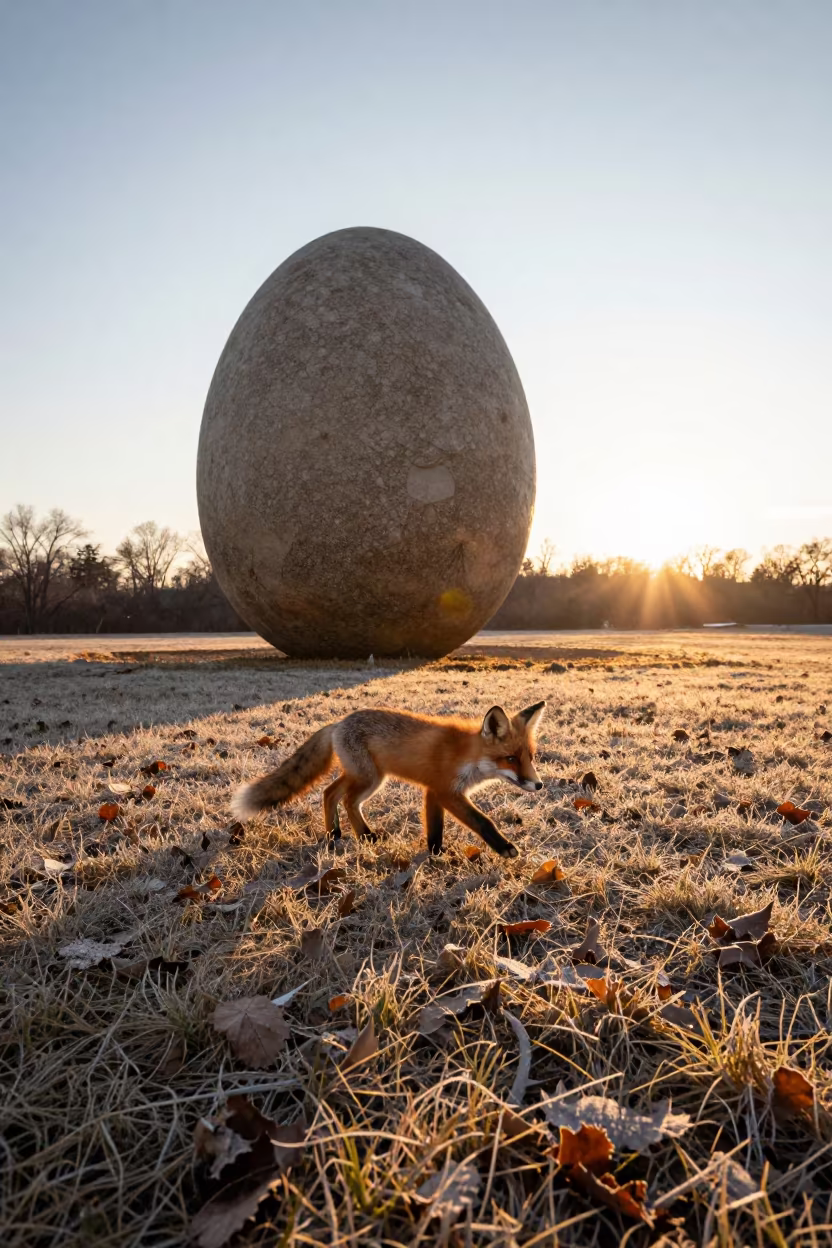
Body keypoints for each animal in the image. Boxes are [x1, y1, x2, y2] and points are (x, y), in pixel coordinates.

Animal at [231, 700, 546, 858]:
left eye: (530, 757)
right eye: (510, 759)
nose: (539, 785)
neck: (467, 755)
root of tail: (338, 723)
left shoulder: (434, 792)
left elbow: (435, 828)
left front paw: (435, 853)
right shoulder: (446, 791)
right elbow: (483, 821)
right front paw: (504, 847)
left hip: (364, 775)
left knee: (330, 793)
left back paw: (338, 834)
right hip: (369, 778)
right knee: (346, 799)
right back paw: (362, 835)